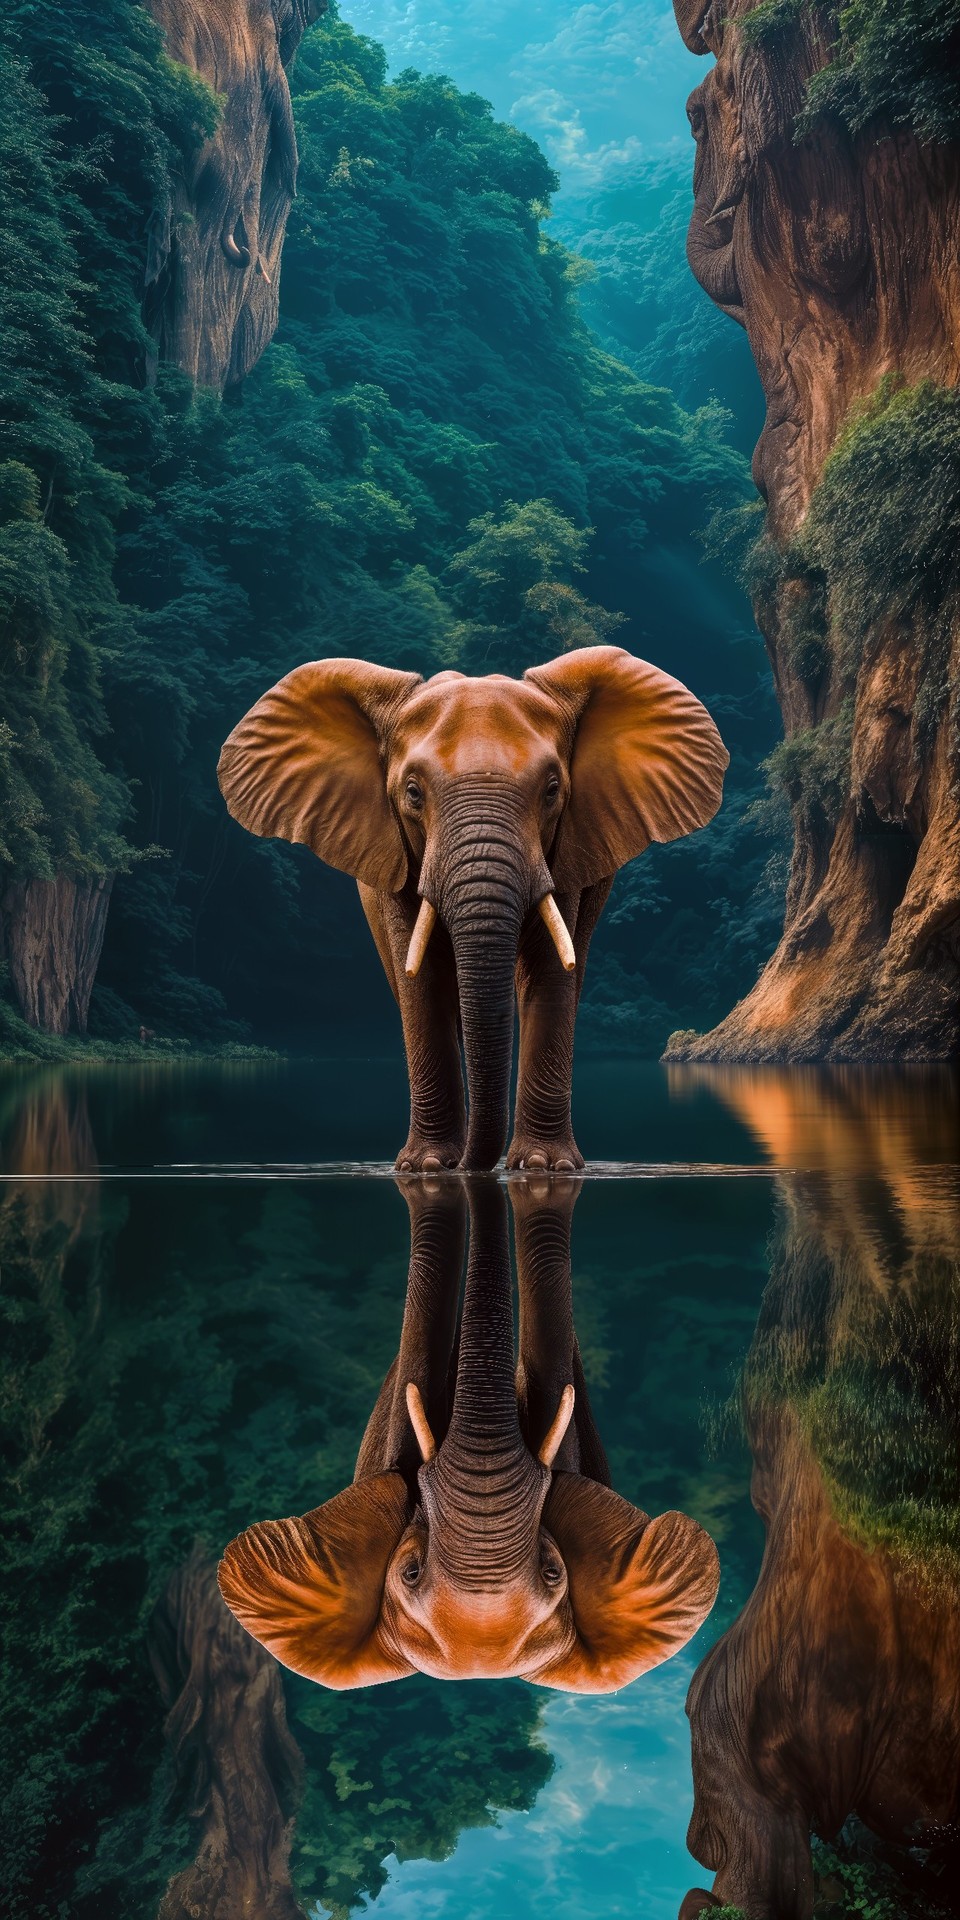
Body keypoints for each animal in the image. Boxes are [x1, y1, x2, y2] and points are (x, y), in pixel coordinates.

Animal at [218, 646, 728, 1171]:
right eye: (413, 792)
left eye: (552, 790)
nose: (471, 1165)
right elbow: (422, 981)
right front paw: (426, 1167)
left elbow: (550, 971)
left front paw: (544, 1166)